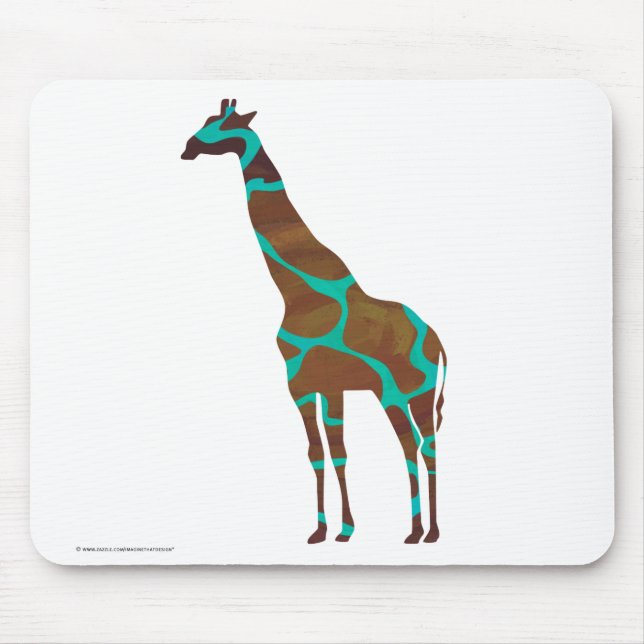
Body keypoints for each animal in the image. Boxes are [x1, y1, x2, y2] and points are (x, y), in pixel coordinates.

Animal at [182, 99, 447, 544]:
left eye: (220, 124)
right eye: (205, 120)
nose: (187, 148)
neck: (296, 292)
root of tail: (438, 342)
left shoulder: (301, 383)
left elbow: (323, 452)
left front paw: (335, 529)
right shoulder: (322, 385)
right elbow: (328, 452)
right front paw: (333, 530)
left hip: (403, 390)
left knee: (417, 445)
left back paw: (422, 532)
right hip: (406, 392)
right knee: (420, 445)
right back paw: (423, 530)